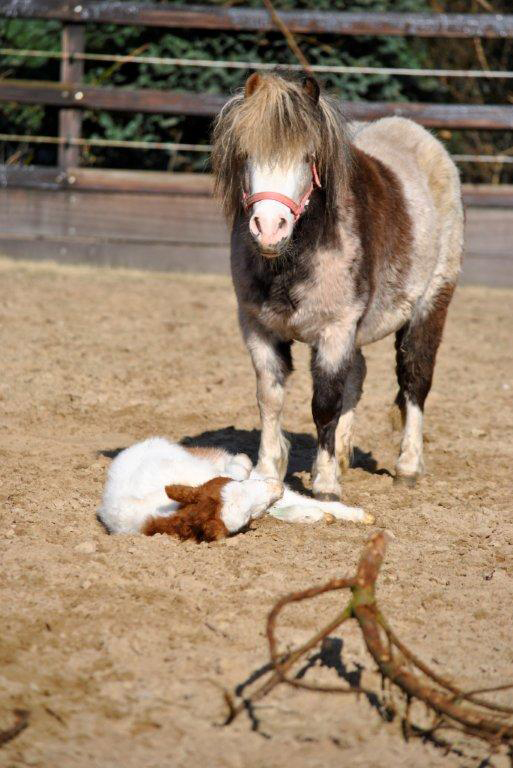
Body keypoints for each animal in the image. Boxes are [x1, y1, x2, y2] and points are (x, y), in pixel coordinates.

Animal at [212, 73, 463, 501]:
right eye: (246, 153)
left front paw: (326, 484)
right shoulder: (258, 328)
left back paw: (408, 466)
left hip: (431, 303)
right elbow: (270, 399)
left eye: (308, 157)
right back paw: (345, 455)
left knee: (415, 377)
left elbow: (325, 403)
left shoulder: (335, 329)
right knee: (357, 375)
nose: (269, 228)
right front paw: (267, 474)